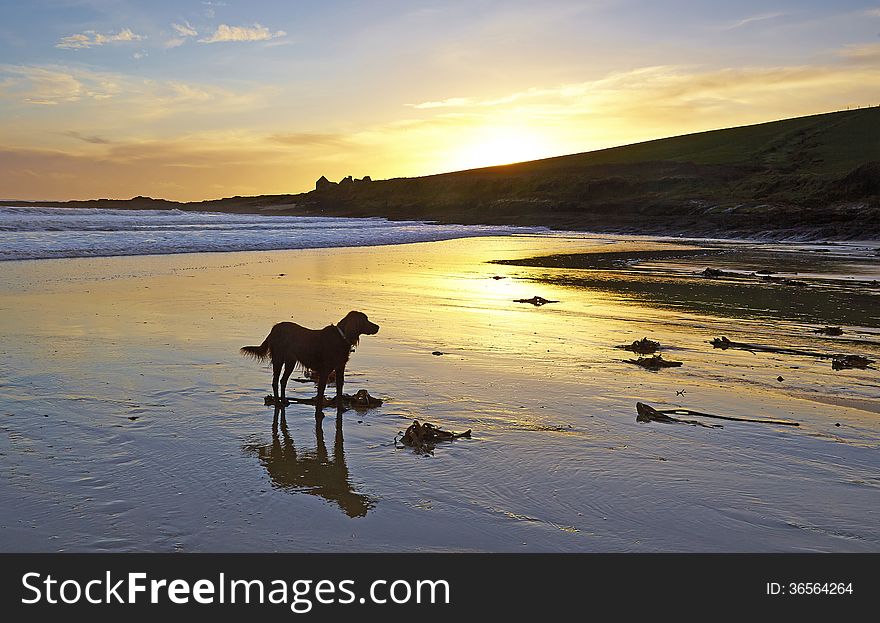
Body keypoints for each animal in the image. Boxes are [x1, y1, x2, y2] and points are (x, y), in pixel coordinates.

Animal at [241, 312, 378, 420]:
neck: (341, 337)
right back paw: (277, 403)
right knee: (275, 382)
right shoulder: (324, 371)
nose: (378, 327)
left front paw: (341, 409)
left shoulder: (340, 369)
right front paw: (319, 414)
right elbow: (321, 392)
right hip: (278, 359)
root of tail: (274, 328)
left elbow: (339, 391)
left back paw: (284, 400)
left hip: (290, 361)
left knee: (283, 381)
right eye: (365, 319)